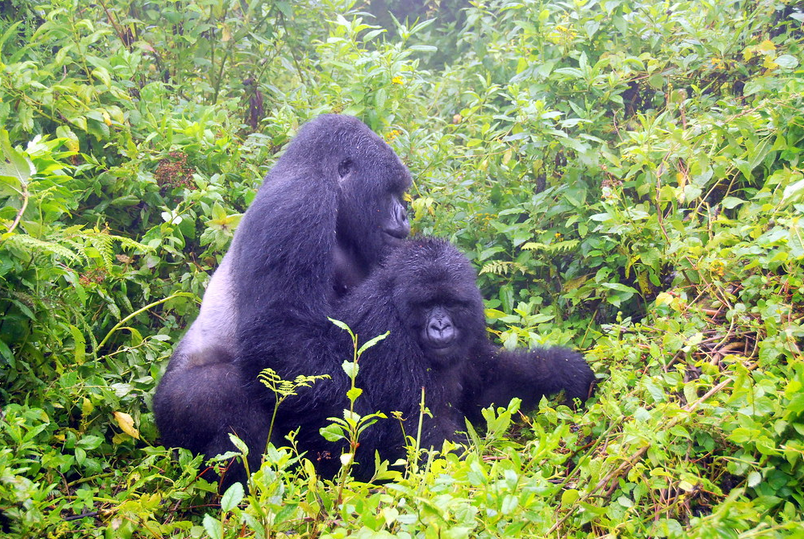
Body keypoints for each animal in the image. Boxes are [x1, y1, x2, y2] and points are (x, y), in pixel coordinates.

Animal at [153, 115, 412, 486]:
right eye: (389, 190)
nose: (404, 215)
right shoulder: (298, 204)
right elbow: (283, 336)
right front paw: (379, 437)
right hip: (171, 411)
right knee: (226, 397)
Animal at [260, 238, 592, 478]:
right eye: (427, 304)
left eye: (450, 303)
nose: (440, 326)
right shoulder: (387, 331)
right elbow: (425, 433)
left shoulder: (473, 320)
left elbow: (486, 394)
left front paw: (560, 369)